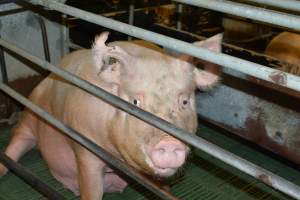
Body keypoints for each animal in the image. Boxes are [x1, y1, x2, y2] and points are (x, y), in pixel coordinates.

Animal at [0, 32, 221, 199]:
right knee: (17, 143)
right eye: (135, 102)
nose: (168, 142)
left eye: (184, 101)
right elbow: (91, 189)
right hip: (30, 112)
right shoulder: (84, 145)